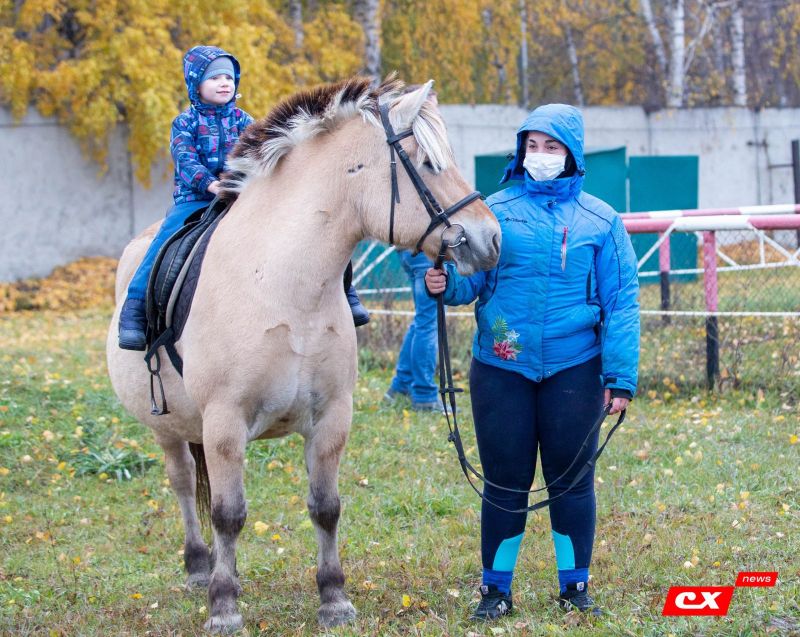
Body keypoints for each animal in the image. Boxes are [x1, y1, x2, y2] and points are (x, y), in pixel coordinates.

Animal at [106, 76, 501, 634]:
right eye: (427, 163)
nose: (492, 239)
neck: (282, 283)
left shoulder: (331, 417)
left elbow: (325, 507)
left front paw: (334, 599)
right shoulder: (224, 423)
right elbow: (228, 514)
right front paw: (224, 607)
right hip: (169, 428)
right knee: (184, 485)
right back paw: (201, 568)